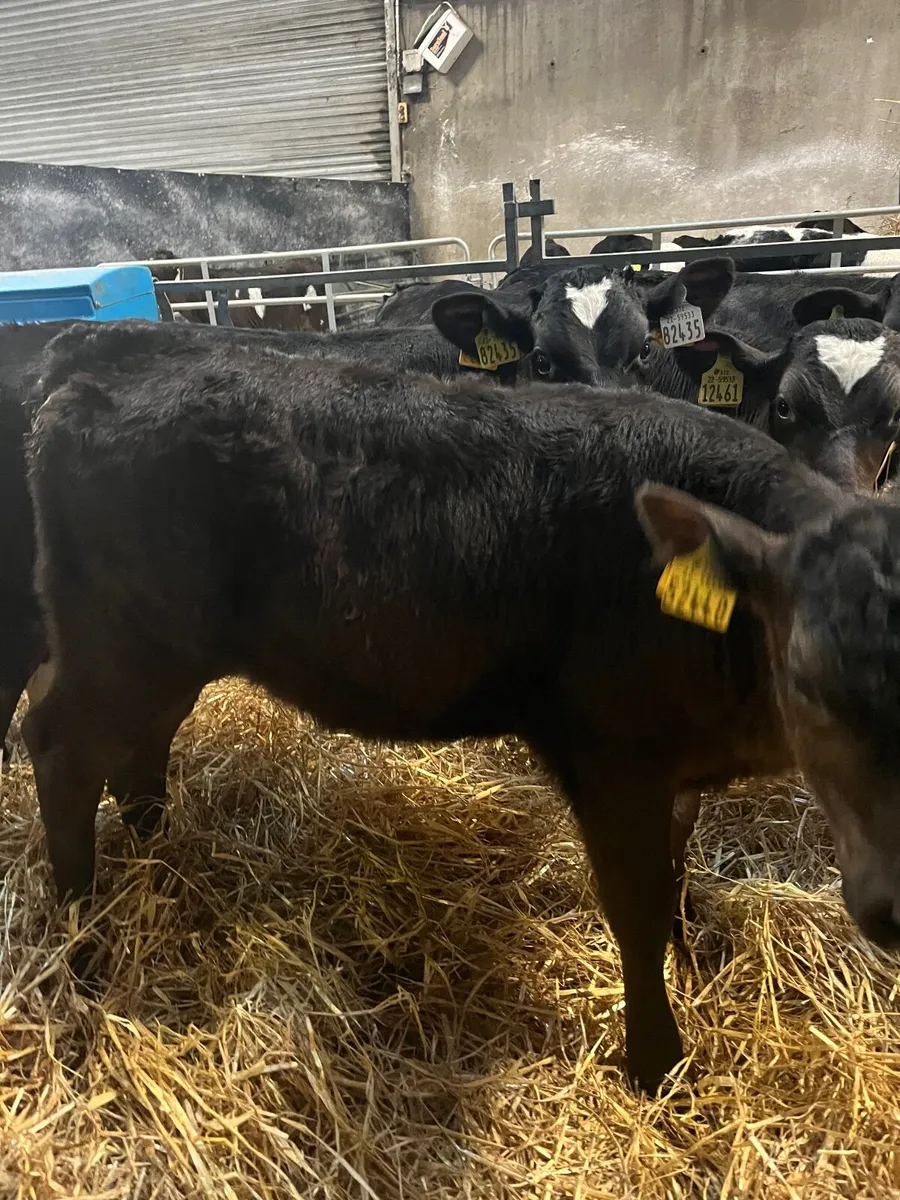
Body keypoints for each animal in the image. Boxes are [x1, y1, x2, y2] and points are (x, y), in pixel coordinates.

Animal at [24, 321, 900, 1097]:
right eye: (806, 679)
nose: (891, 907)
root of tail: (105, 348)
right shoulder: (612, 756)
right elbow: (638, 908)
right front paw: (658, 1065)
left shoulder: (674, 768)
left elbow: (677, 873)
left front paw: (692, 965)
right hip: (121, 643)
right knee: (60, 746)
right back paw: (81, 942)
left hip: (164, 653)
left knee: (139, 753)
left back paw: (162, 870)